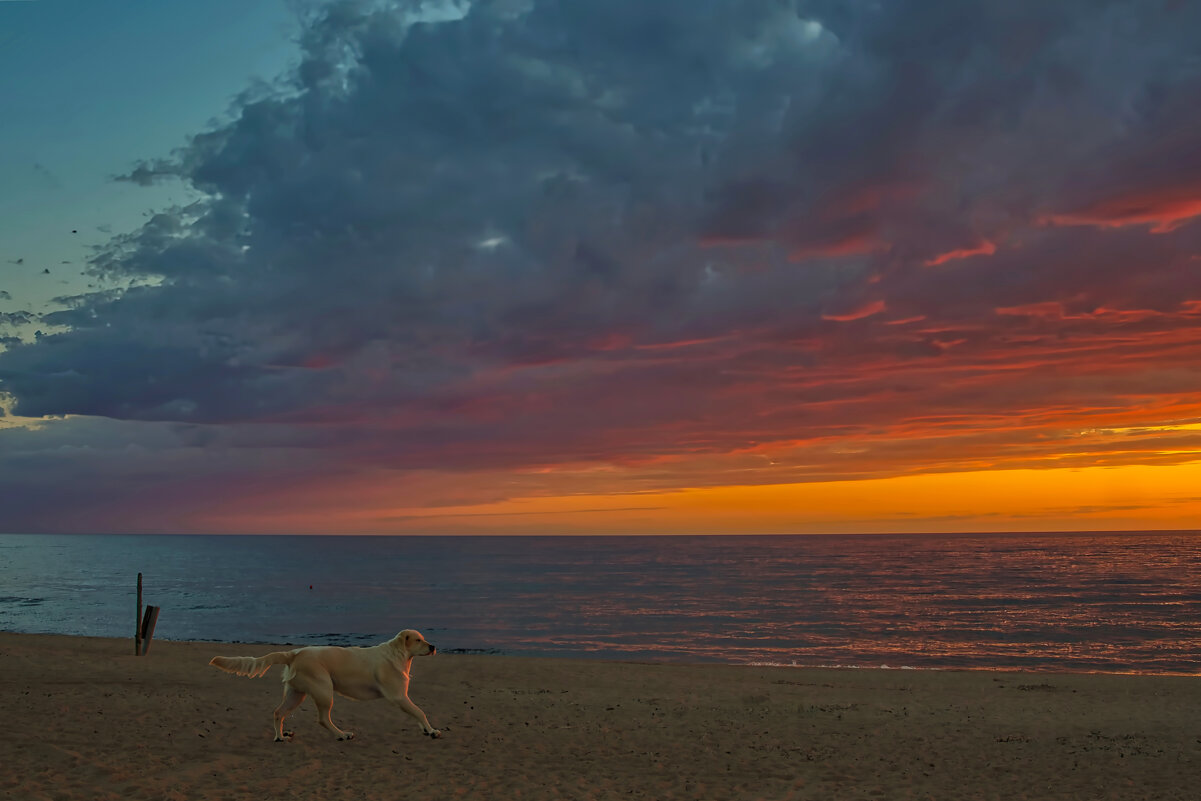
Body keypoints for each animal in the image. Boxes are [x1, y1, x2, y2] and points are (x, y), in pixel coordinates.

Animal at [210, 629, 441, 744]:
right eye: (418, 640)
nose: (433, 646)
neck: (398, 653)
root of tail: (294, 653)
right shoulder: (399, 697)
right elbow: (420, 712)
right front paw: (432, 731)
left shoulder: (401, 698)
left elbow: (416, 713)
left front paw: (425, 730)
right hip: (323, 690)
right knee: (322, 719)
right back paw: (342, 734)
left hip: (297, 693)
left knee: (278, 712)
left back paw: (280, 737)